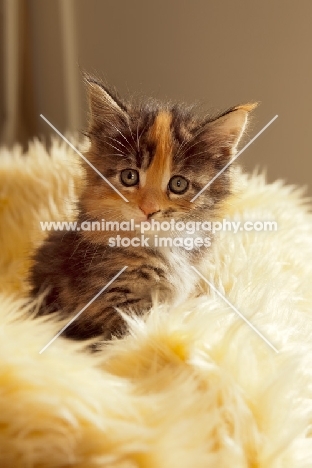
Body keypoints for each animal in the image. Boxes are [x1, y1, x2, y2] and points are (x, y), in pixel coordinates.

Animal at [28, 75, 256, 342]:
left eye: (179, 184)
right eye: (129, 176)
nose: (149, 209)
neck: (161, 243)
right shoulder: (108, 296)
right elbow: (129, 330)